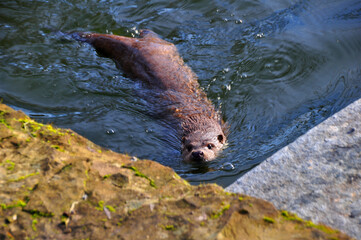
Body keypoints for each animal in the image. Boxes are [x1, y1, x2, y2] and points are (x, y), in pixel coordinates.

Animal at [71, 29, 226, 161]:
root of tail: (135, 43)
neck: (196, 119)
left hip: (162, 45)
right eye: (189, 147)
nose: (197, 153)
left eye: (210, 145)